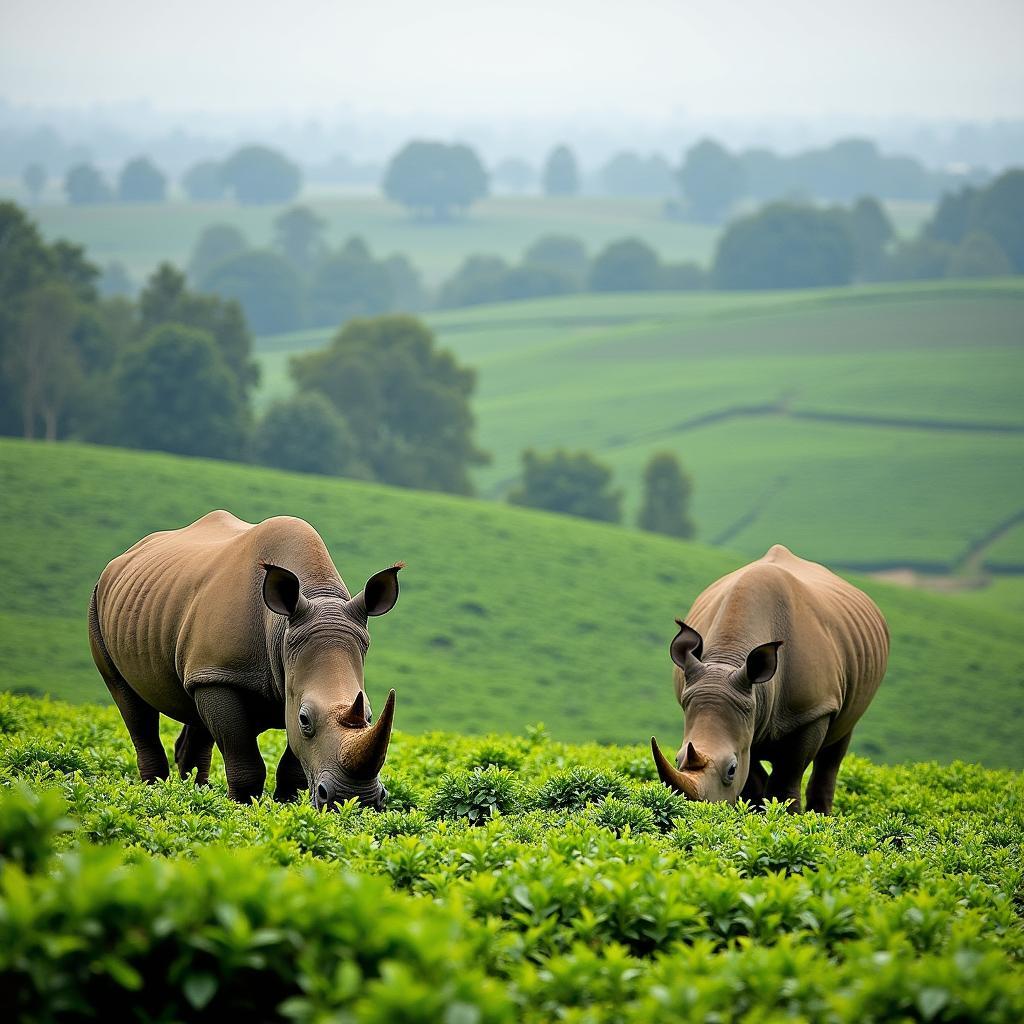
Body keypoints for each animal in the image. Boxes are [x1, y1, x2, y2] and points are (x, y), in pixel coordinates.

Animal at [88, 509, 401, 806]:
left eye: (370, 715)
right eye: (304, 719)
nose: (355, 799)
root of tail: (126, 555)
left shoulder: (269, 677)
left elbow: (293, 769)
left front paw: (286, 808)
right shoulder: (223, 675)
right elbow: (245, 761)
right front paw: (241, 808)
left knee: (195, 709)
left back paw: (196, 794)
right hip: (99, 600)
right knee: (129, 700)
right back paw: (154, 791)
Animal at [655, 544, 888, 815]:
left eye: (731, 769)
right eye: (676, 759)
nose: (697, 814)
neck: (728, 660)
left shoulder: (811, 711)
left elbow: (786, 777)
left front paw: (787, 817)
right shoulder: (748, 712)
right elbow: (753, 775)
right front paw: (756, 813)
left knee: (838, 742)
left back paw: (822, 815)